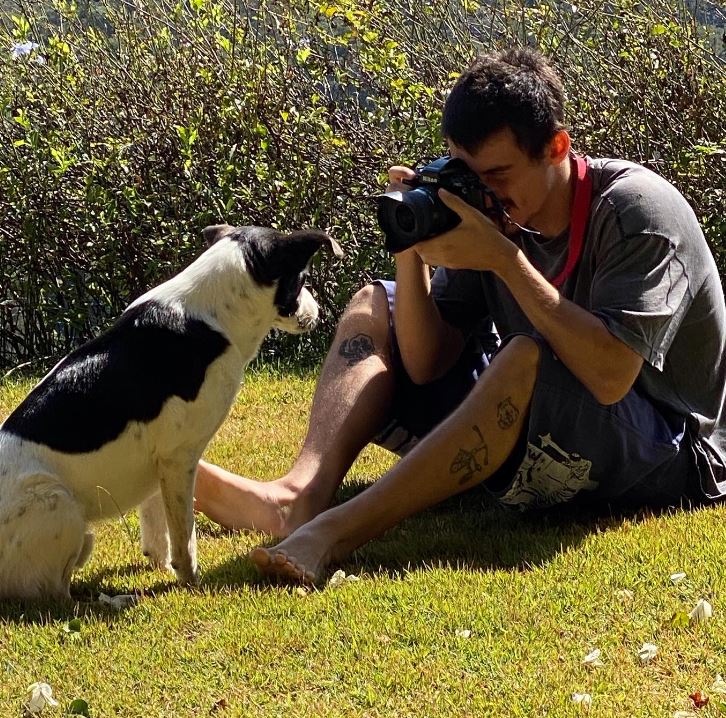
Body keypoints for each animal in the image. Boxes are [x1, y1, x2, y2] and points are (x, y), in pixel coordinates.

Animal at [0, 225, 344, 600]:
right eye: (302, 278)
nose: (319, 311)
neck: (212, 316)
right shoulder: (180, 459)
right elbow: (184, 537)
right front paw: (191, 582)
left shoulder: (156, 464)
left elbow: (157, 534)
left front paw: (161, 571)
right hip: (59, 505)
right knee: (54, 593)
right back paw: (113, 599)